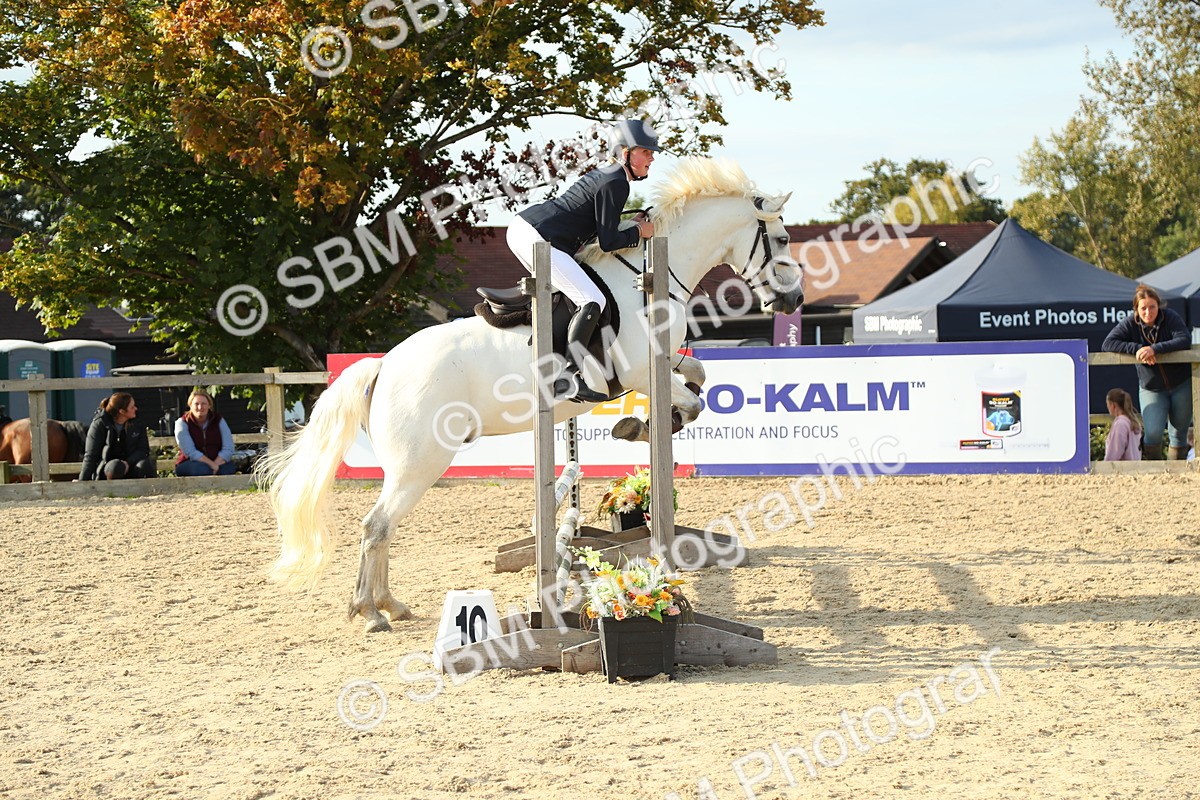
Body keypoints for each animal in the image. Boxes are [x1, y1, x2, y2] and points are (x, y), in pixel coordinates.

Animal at [258, 157, 804, 631]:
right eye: (779, 238)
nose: (794, 299)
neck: (648, 278)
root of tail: (384, 365)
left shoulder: (661, 366)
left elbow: (699, 375)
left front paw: (644, 423)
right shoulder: (640, 372)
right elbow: (691, 401)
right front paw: (642, 425)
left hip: (410, 466)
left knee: (384, 528)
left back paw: (390, 604)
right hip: (420, 462)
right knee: (376, 526)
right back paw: (370, 612)